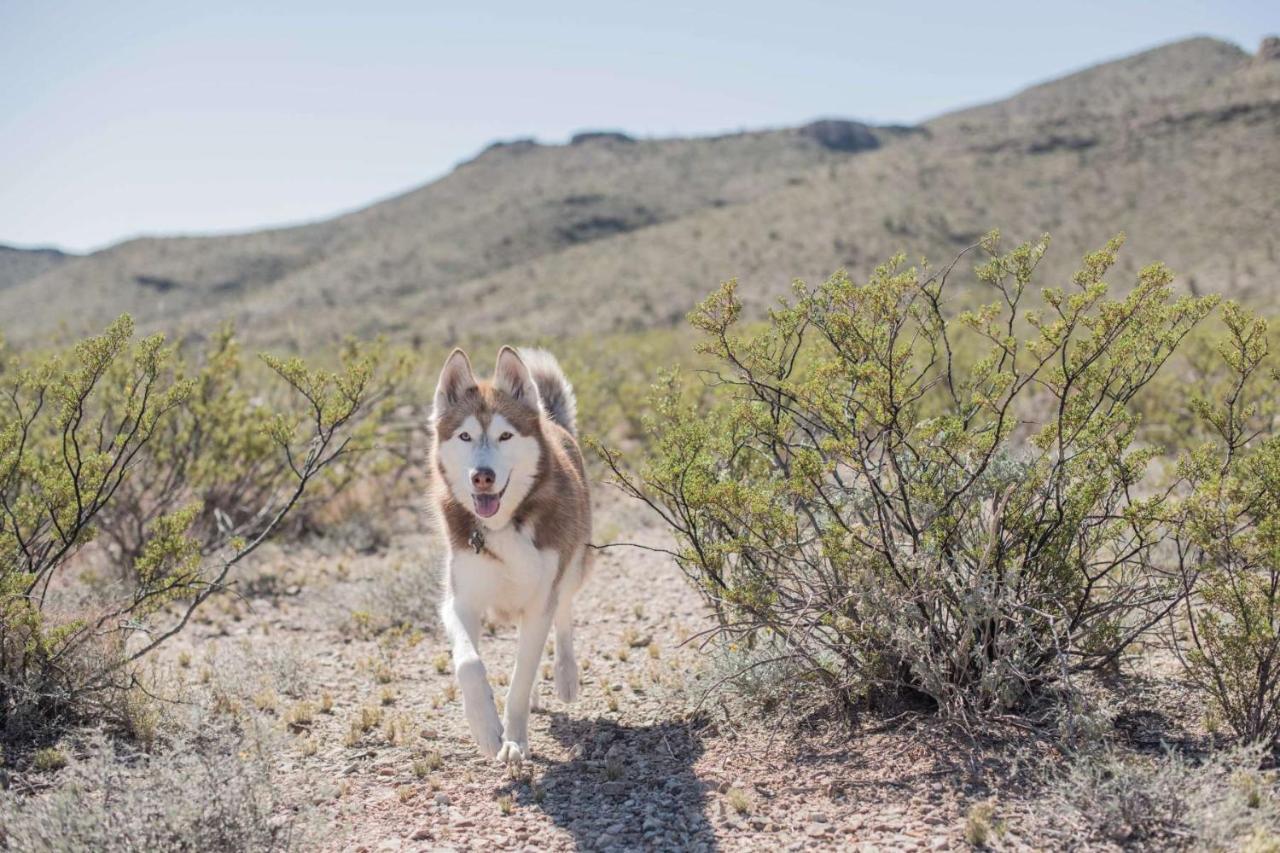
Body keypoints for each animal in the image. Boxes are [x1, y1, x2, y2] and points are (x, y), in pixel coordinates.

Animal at [430, 345, 588, 763]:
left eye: (505, 435)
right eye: (465, 435)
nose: (482, 476)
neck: (504, 526)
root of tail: (554, 423)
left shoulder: (540, 601)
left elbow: (520, 677)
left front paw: (514, 739)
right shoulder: (459, 601)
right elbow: (469, 663)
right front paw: (485, 728)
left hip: (575, 567)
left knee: (563, 617)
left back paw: (565, 675)